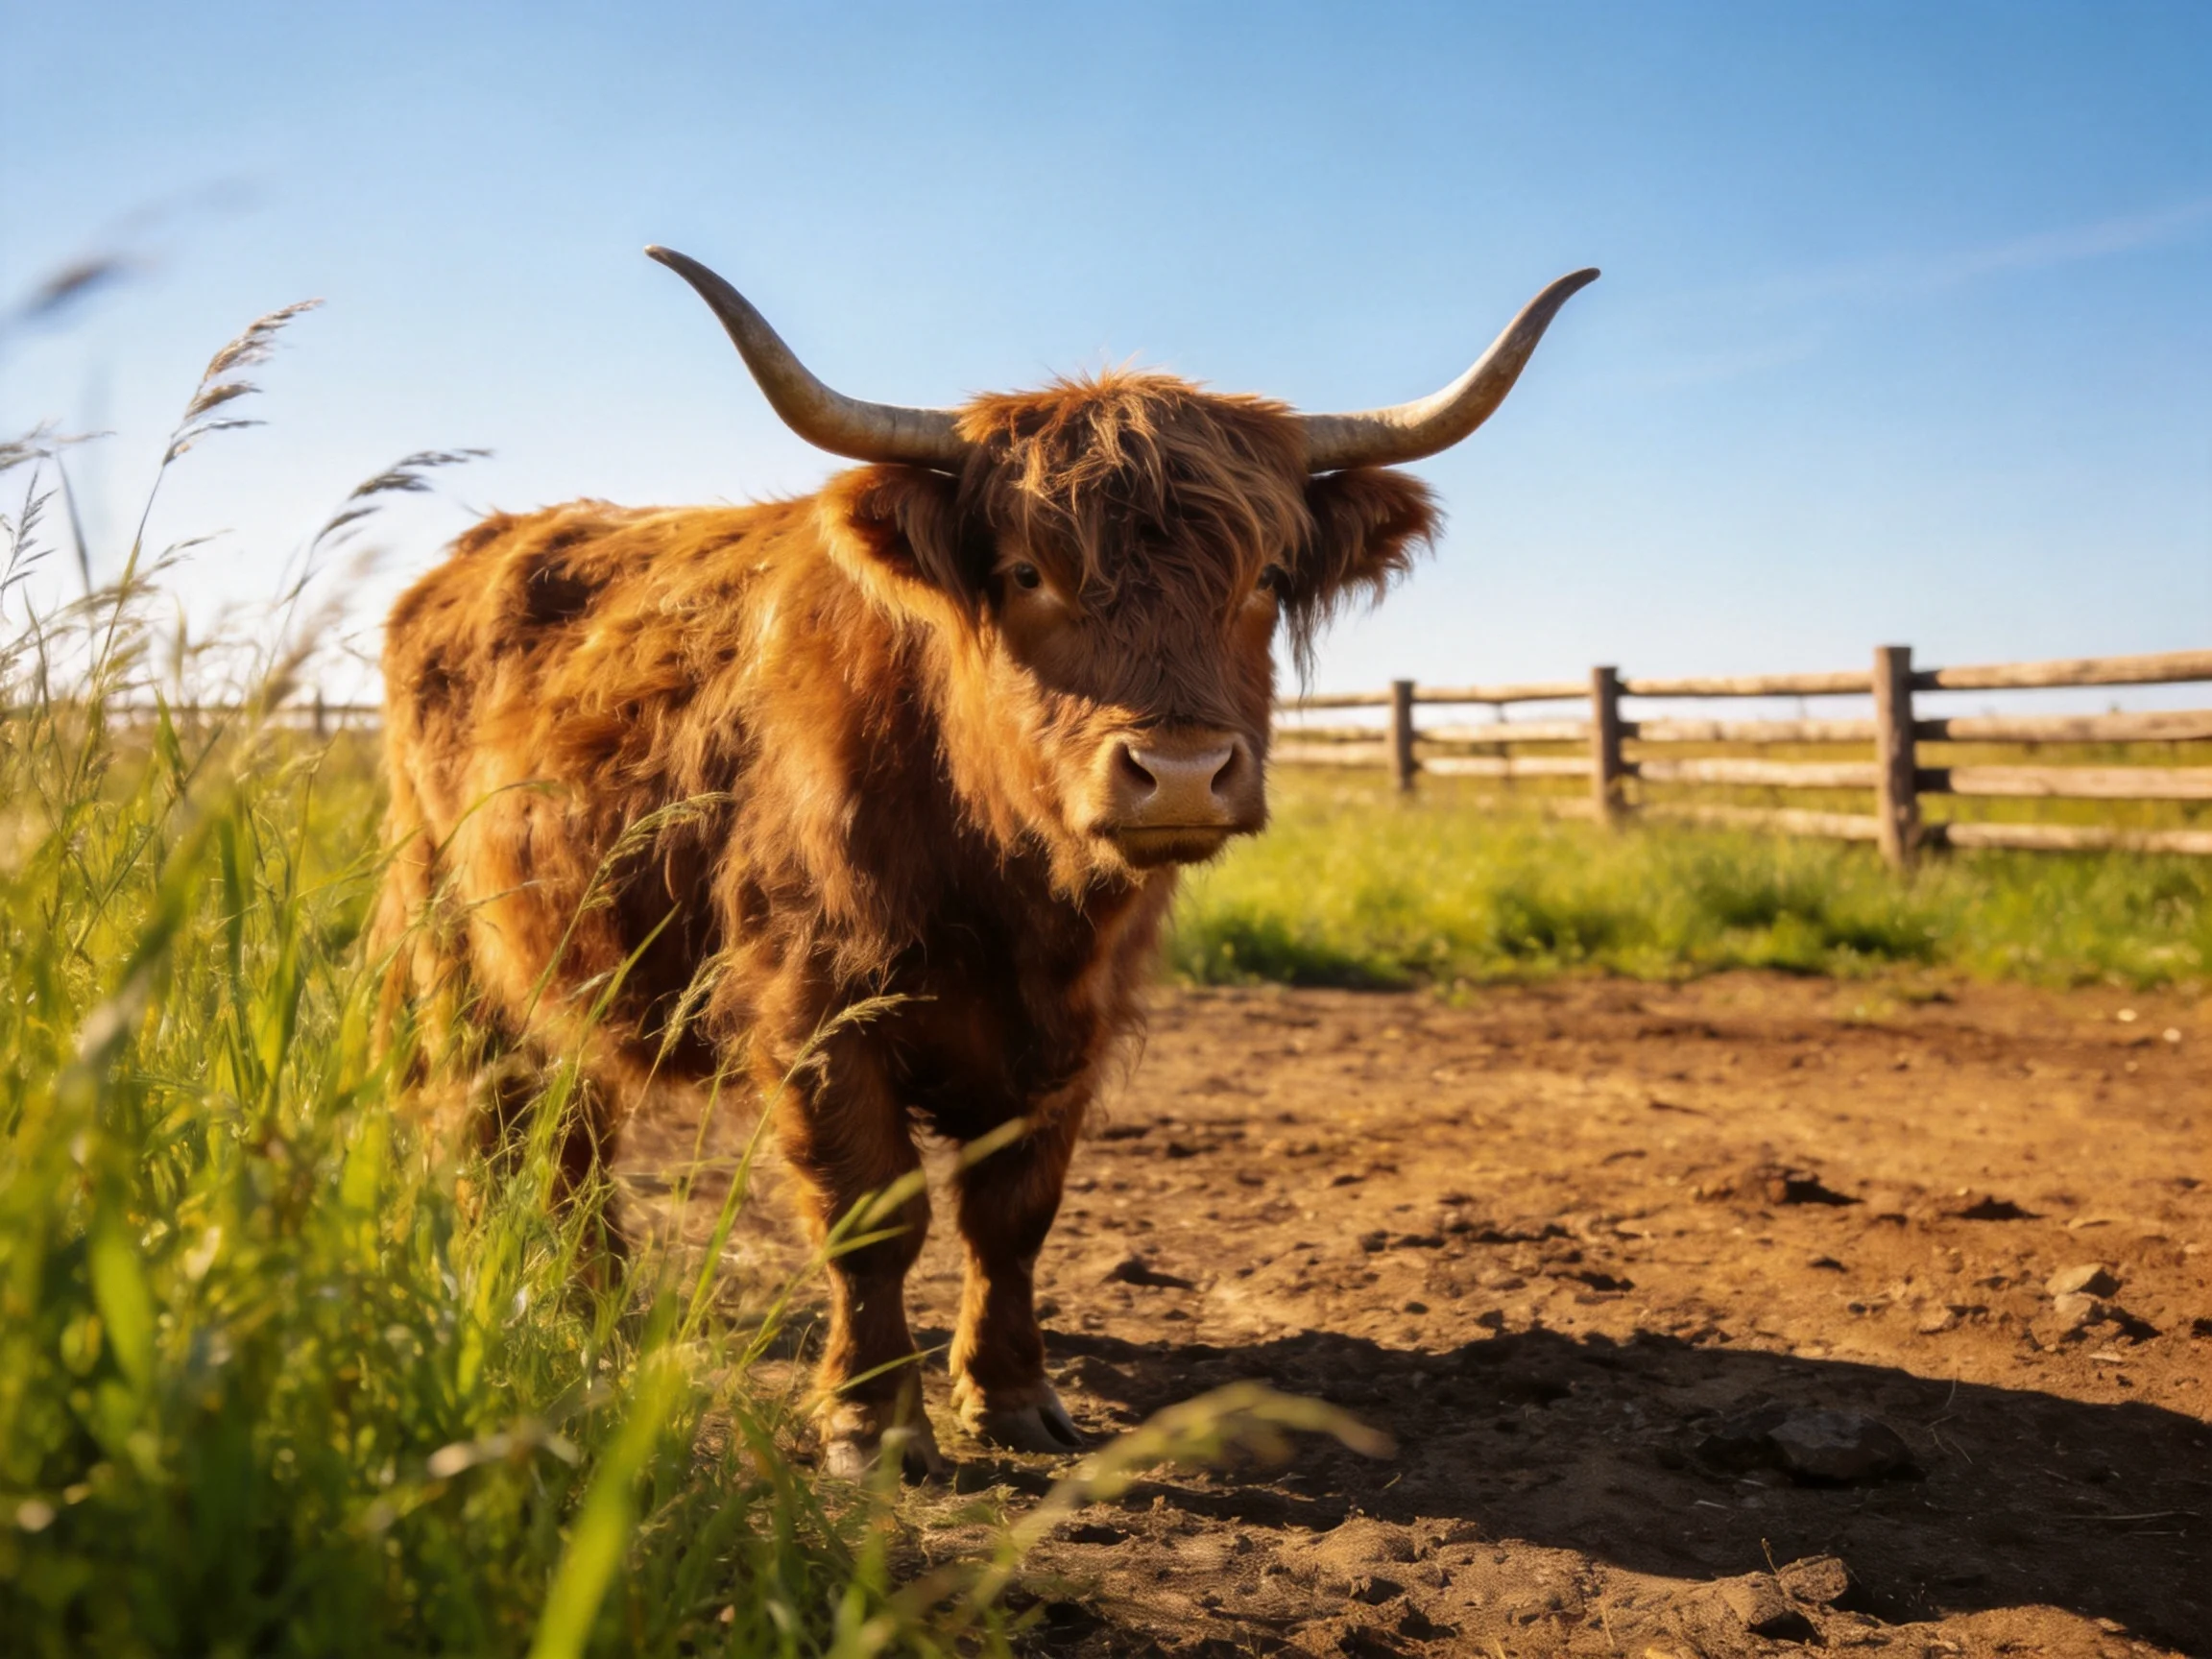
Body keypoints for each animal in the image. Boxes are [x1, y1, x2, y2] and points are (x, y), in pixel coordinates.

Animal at [372, 246, 1595, 1475]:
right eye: (1024, 572)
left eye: (1262, 578)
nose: (1181, 772)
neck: (1004, 883)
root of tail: (478, 549)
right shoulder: (813, 1006)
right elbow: (874, 1213)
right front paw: (873, 1422)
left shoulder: (1073, 1026)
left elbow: (1013, 1214)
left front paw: (1009, 1396)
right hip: (456, 941)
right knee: (500, 1116)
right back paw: (537, 1301)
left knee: (572, 1123)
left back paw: (603, 1303)